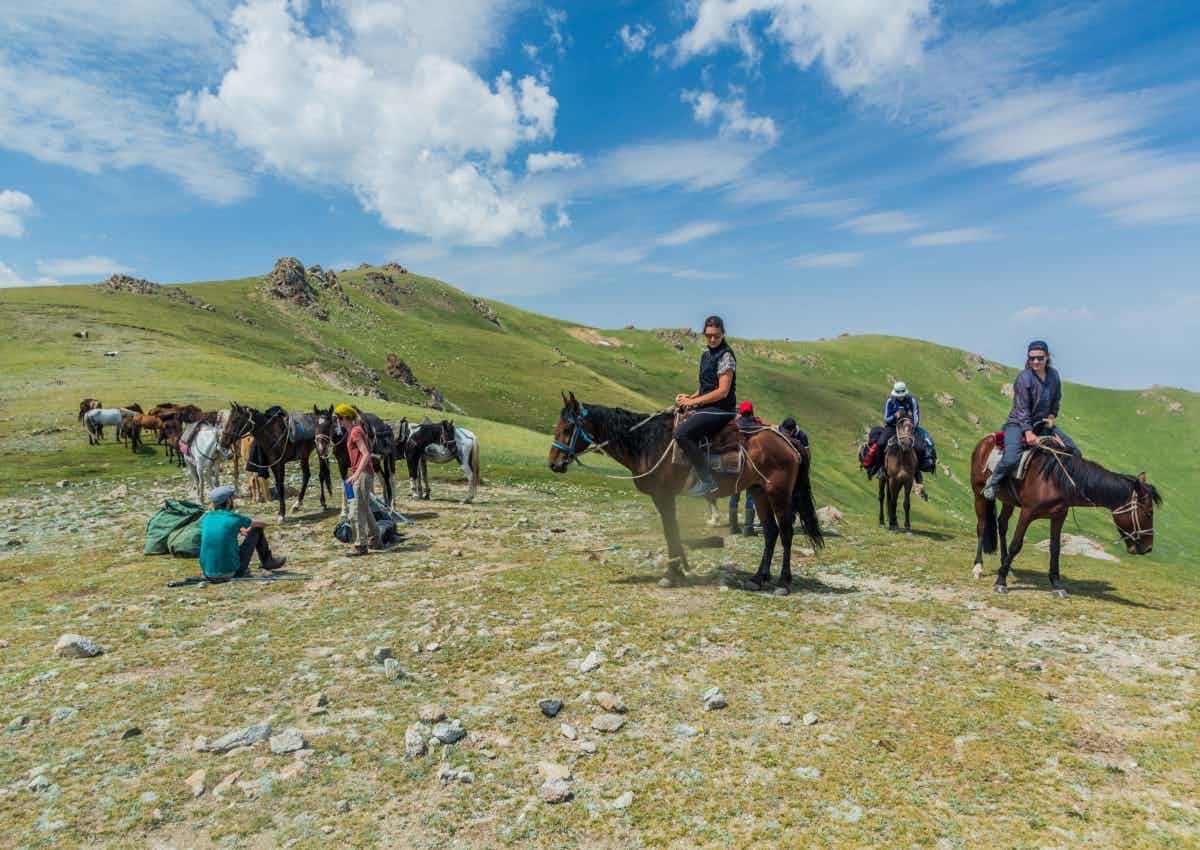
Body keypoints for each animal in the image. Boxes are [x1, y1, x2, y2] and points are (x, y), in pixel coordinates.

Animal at [547, 391, 820, 590]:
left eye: (567, 429)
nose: (553, 463)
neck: (648, 442)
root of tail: (787, 441)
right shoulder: (664, 498)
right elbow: (673, 532)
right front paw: (681, 569)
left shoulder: (664, 496)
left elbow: (670, 532)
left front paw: (671, 574)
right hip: (758, 491)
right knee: (771, 532)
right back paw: (758, 578)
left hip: (778, 494)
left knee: (785, 533)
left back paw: (783, 581)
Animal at [964, 434, 1161, 595]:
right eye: (1149, 513)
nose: (1148, 548)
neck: (1055, 480)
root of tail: (985, 441)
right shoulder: (1027, 513)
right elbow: (1016, 544)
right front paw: (1001, 582)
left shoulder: (1058, 517)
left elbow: (1055, 548)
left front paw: (1056, 585)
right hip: (978, 493)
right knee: (982, 525)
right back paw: (978, 567)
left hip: (1008, 501)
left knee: (1002, 524)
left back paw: (1007, 566)